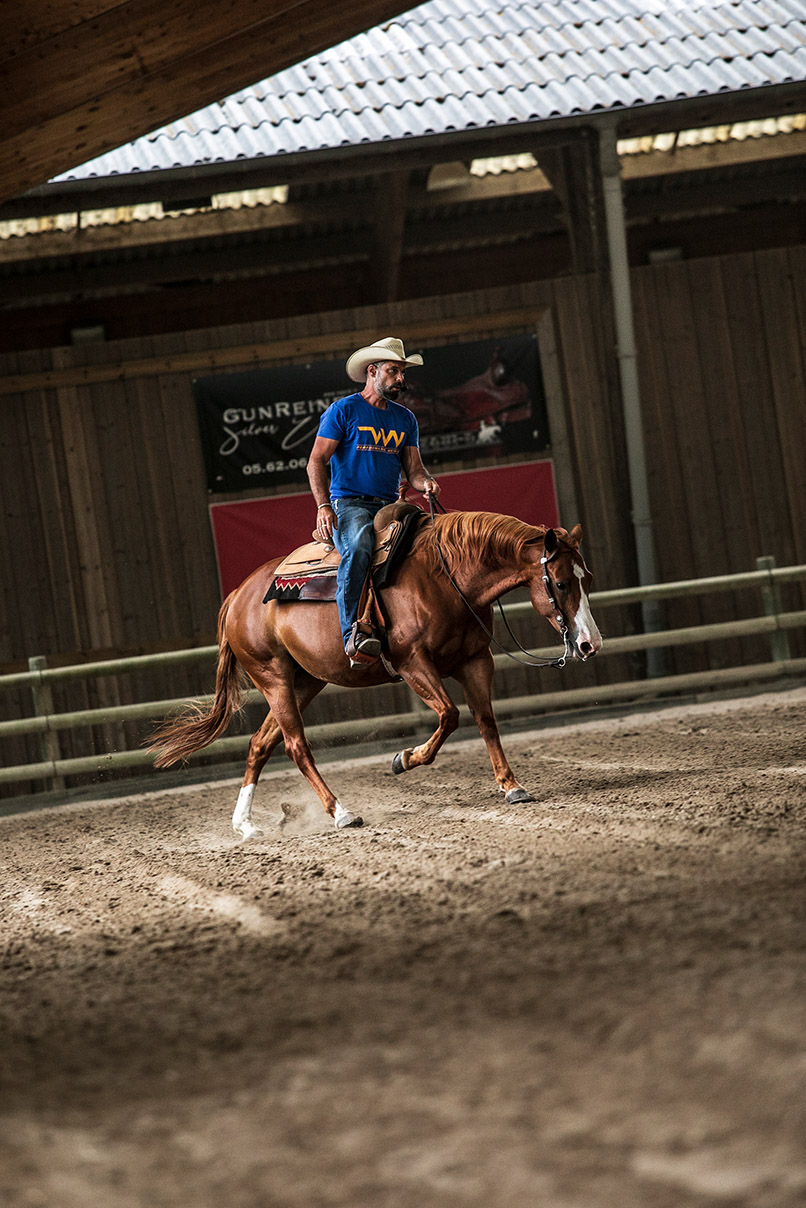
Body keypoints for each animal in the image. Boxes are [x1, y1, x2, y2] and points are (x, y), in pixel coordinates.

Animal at [149, 507, 604, 831]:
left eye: (587, 578)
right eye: (560, 583)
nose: (590, 644)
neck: (446, 577)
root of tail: (237, 596)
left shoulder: (475, 661)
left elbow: (485, 720)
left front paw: (511, 786)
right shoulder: (412, 663)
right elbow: (449, 715)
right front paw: (404, 758)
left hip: (304, 682)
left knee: (261, 743)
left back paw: (244, 825)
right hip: (272, 677)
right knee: (296, 746)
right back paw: (341, 813)